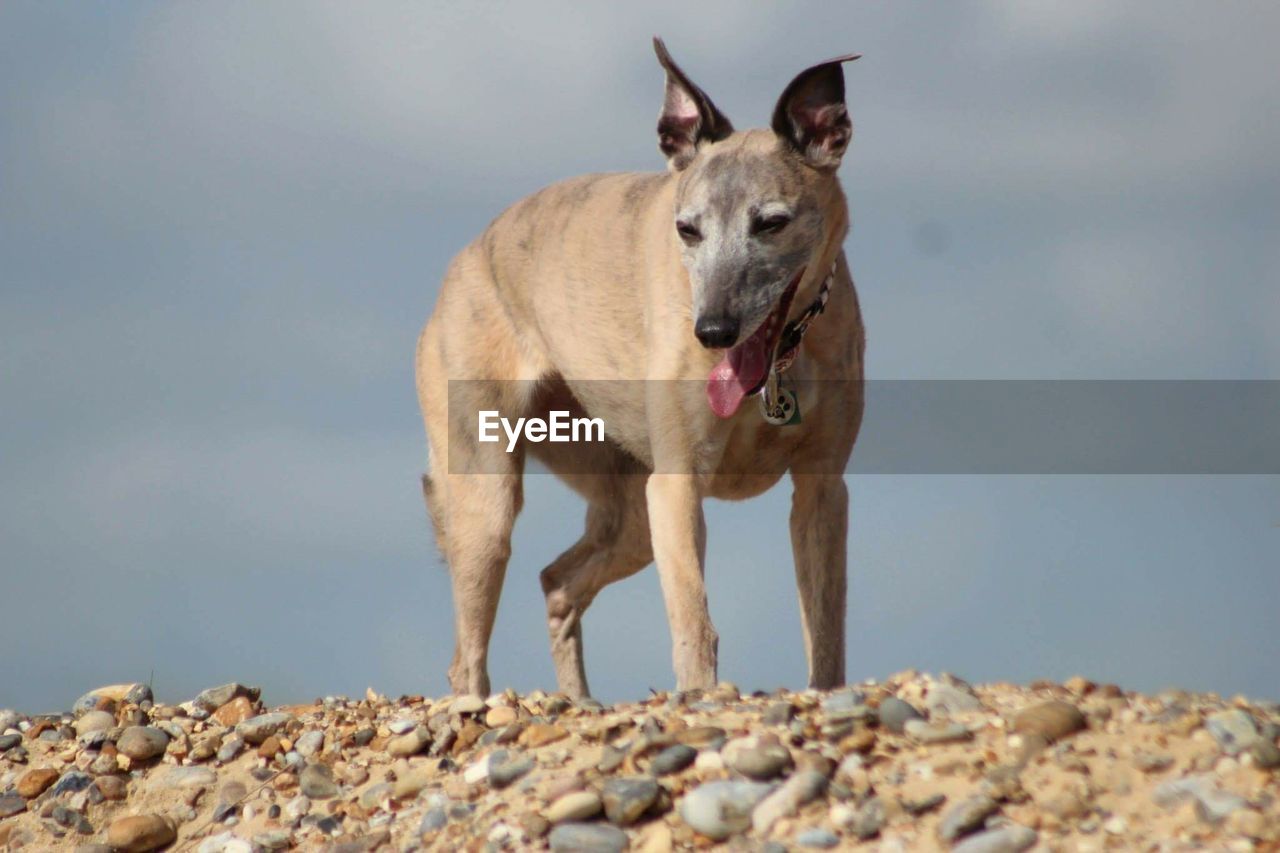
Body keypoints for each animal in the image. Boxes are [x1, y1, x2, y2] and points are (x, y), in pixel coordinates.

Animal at [414, 36, 865, 696]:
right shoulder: (678, 485)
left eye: (772, 222)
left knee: (557, 583)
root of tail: (467, 258)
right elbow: (695, 625)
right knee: (467, 655)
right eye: (687, 230)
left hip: (629, 518)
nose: (712, 332)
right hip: (487, 501)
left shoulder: (822, 489)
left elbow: (826, 628)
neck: (780, 361)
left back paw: (578, 701)